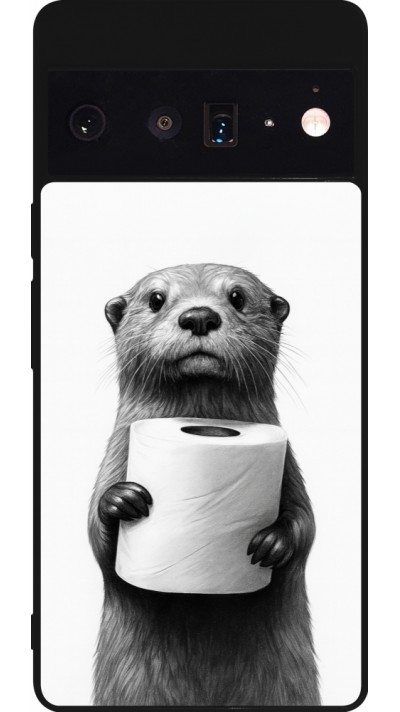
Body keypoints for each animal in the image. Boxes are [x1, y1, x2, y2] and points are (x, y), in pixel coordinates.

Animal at [88, 263, 320, 706]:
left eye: (237, 297)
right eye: (156, 299)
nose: (199, 316)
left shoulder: (290, 468)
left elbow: (307, 525)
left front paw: (273, 542)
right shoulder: (114, 458)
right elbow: (96, 537)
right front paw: (121, 501)